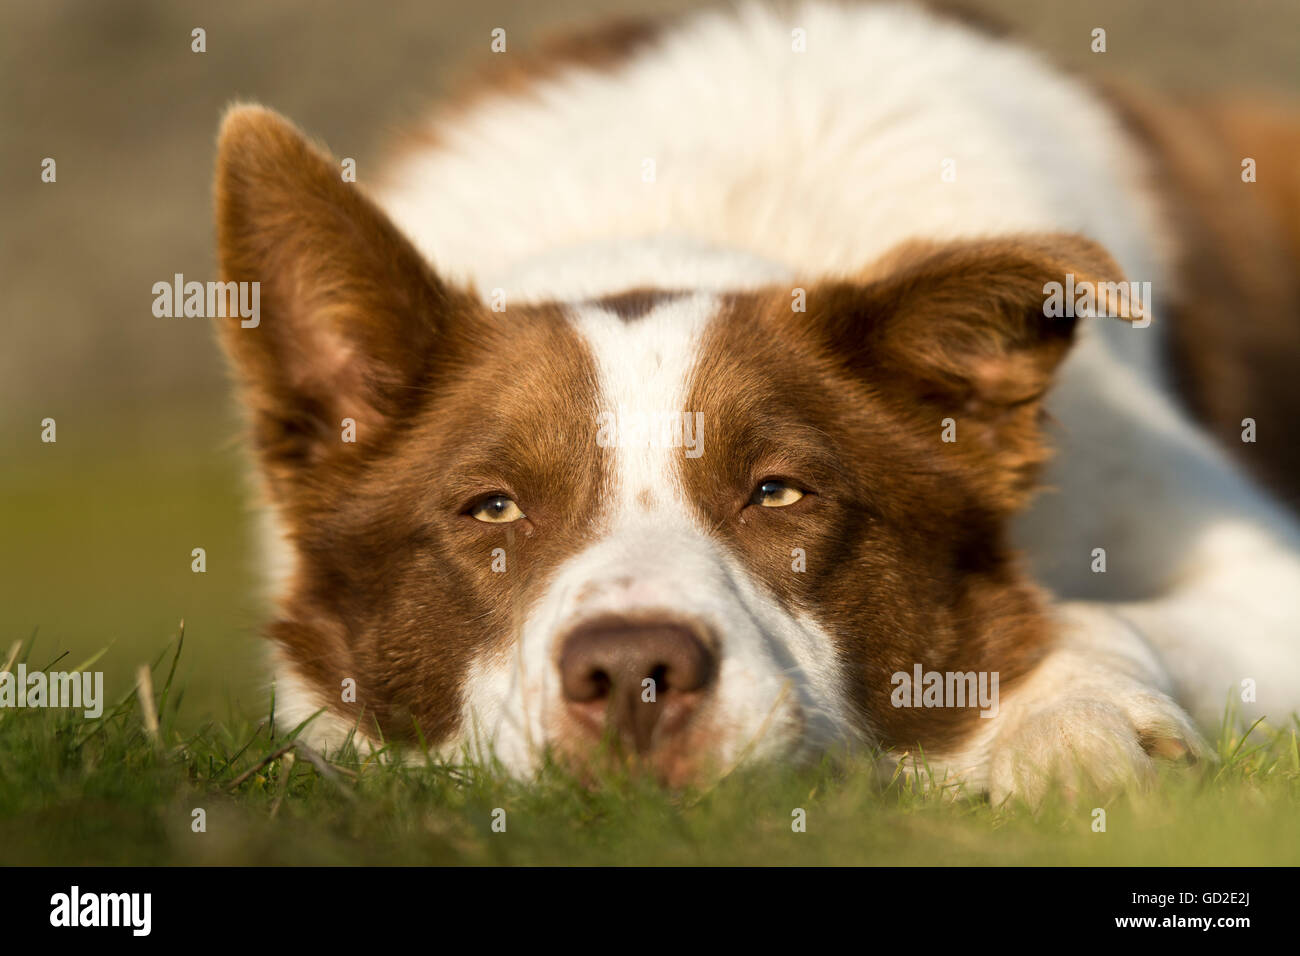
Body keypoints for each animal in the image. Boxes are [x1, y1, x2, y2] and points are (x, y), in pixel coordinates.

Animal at [210, 0, 1300, 806]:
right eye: (493, 508)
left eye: (778, 492)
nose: (631, 672)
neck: (673, 209)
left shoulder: (1252, 568)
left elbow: (1082, 612)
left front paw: (1074, 719)